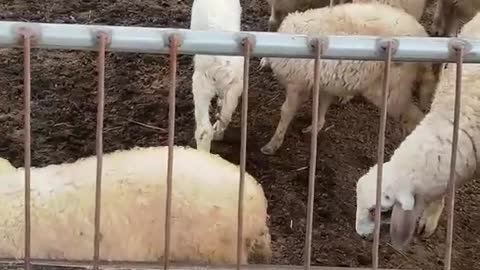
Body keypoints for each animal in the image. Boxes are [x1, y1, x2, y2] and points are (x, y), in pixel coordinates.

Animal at [190, 0, 244, 153]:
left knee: (203, 129)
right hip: (236, 86)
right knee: (225, 116)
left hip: (200, 84)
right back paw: (218, 135)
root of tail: (221, 62)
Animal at [260, 2, 440, 156]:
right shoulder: (324, 81)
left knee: (414, 117)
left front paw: (272, 145)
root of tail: (421, 34)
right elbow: (322, 105)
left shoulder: (296, 84)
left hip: (392, 88)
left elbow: (286, 112)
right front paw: (316, 127)